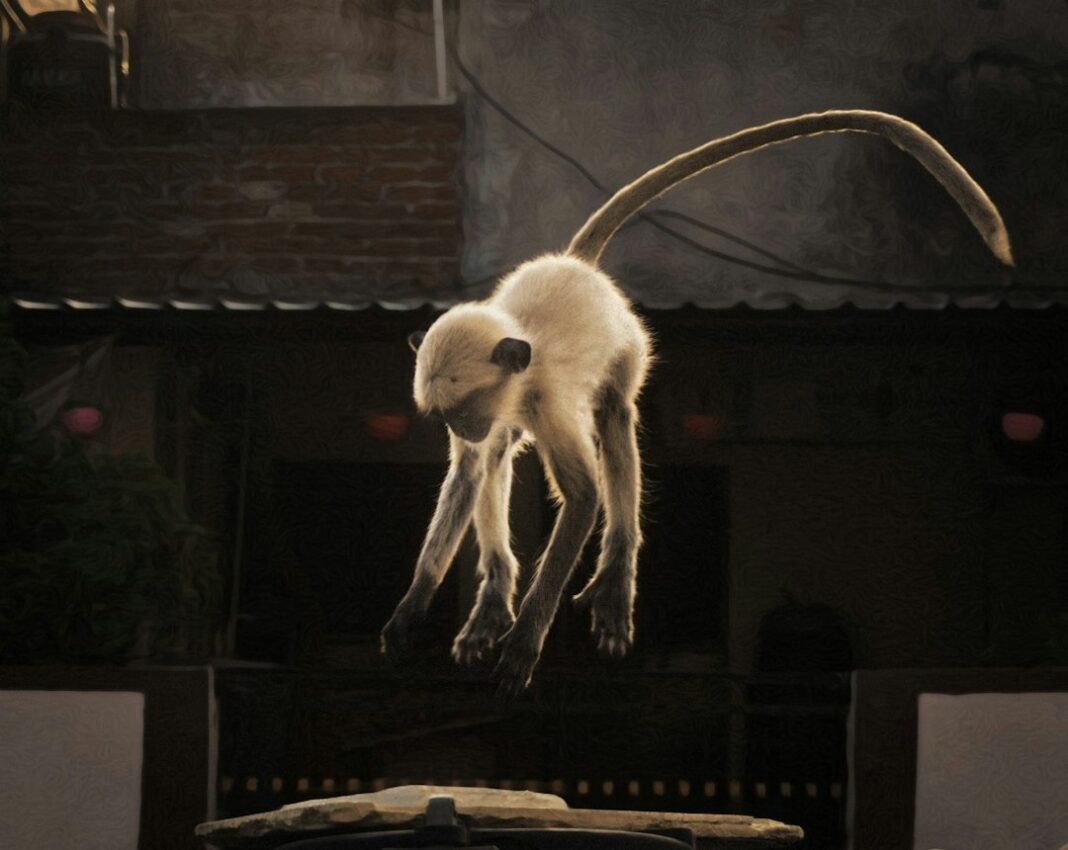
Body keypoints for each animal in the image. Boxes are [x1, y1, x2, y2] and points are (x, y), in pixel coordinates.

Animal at [379, 109, 1014, 693]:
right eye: (444, 418)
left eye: (459, 413)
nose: (461, 430)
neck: (520, 354)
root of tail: (577, 265)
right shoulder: (502, 407)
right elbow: (469, 475)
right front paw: (412, 610)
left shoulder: (544, 399)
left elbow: (582, 497)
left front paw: (526, 640)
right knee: (495, 460)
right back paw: (494, 592)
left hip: (629, 347)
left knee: (612, 418)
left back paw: (615, 573)